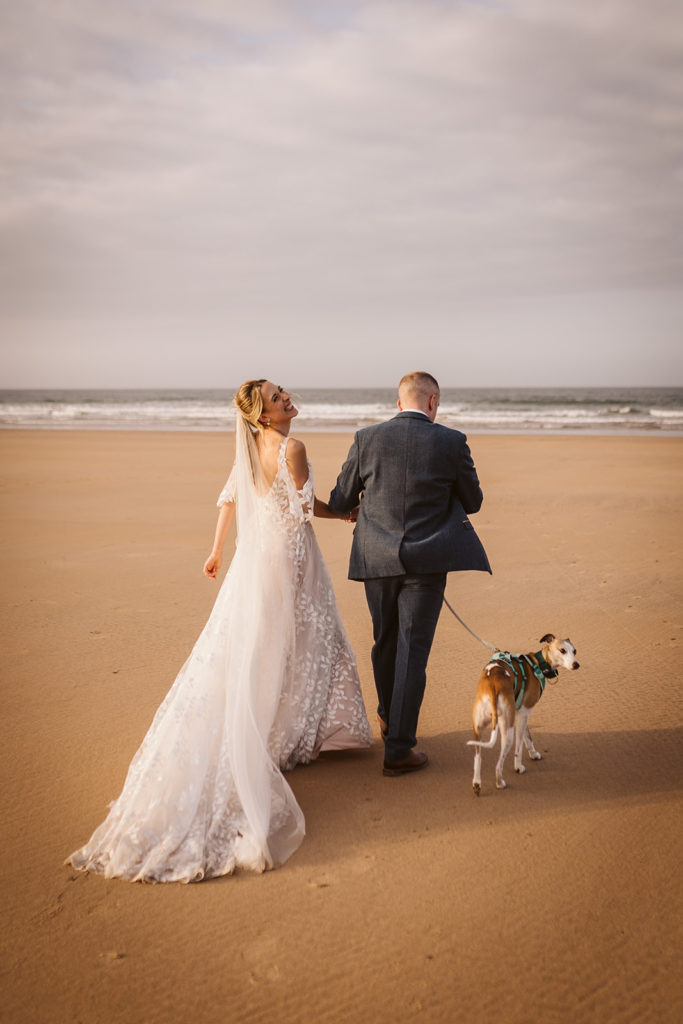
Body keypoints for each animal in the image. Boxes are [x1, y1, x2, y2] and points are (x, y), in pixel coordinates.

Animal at [471, 634, 581, 794]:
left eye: (575, 651)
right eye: (562, 650)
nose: (576, 665)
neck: (538, 664)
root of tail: (492, 685)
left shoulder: (520, 713)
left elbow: (527, 736)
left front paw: (533, 753)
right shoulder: (524, 711)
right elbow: (520, 745)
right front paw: (519, 765)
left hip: (478, 729)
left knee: (478, 758)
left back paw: (477, 783)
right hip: (507, 731)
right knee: (499, 763)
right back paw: (500, 782)